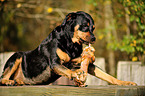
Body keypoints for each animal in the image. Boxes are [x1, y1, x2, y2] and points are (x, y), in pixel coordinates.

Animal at [0, 11, 137, 86]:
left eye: (93, 28)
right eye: (85, 26)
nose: (94, 38)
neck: (71, 43)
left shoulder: (85, 63)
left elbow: (107, 76)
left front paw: (125, 83)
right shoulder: (55, 63)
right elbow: (66, 69)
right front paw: (75, 73)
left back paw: (18, 82)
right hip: (16, 56)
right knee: (2, 78)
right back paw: (9, 81)